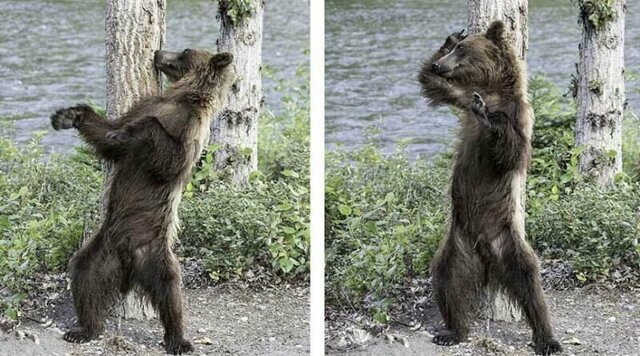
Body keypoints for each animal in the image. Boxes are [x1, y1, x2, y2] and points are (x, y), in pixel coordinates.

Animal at [50, 48, 235, 354]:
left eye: (184, 53)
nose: (159, 52)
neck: (183, 97)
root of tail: (129, 267)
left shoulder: (190, 132)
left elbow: (166, 154)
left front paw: (128, 132)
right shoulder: (146, 105)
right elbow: (108, 136)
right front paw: (68, 115)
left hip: (154, 252)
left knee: (171, 293)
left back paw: (179, 340)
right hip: (104, 249)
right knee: (84, 274)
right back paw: (84, 329)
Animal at [420, 20, 560, 354]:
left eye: (464, 51)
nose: (440, 64)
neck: (493, 90)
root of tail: (484, 252)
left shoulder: (521, 115)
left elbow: (515, 153)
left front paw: (491, 118)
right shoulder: (461, 97)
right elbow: (430, 84)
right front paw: (448, 38)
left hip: (507, 240)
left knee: (529, 283)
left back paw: (547, 338)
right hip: (457, 245)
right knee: (447, 280)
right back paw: (453, 331)